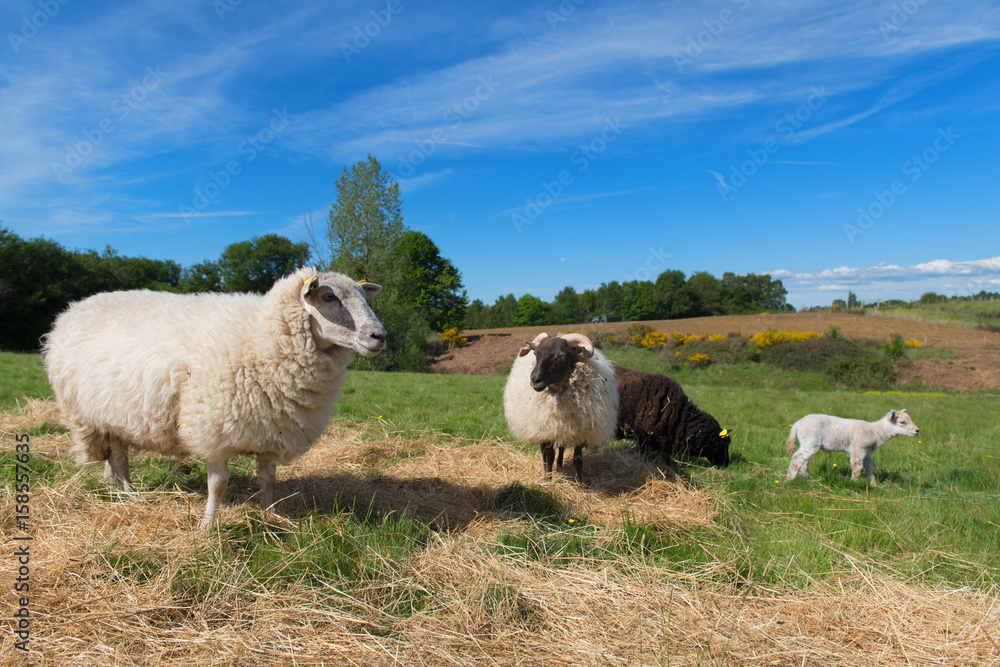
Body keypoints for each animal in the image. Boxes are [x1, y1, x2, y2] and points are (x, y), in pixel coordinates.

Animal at [43, 267, 386, 529]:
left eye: (363, 296)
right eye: (328, 296)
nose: (379, 336)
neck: (257, 338)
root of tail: (74, 308)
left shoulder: (272, 430)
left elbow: (267, 479)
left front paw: (269, 515)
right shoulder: (213, 427)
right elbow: (218, 484)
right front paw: (208, 525)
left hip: (113, 415)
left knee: (115, 458)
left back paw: (116, 488)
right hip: (90, 414)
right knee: (118, 459)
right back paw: (128, 494)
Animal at [503, 333, 618, 482]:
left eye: (561, 356)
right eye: (536, 353)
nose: (535, 380)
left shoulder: (580, 430)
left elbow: (578, 459)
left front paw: (579, 483)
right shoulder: (548, 429)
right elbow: (549, 455)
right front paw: (548, 479)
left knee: (562, 448)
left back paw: (560, 466)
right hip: (541, 428)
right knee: (544, 453)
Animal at [785, 409, 920, 483]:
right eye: (902, 422)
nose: (917, 430)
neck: (875, 431)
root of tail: (798, 423)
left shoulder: (866, 451)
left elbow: (871, 467)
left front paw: (873, 484)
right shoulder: (858, 449)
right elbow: (857, 468)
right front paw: (854, 482)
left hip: (807, 442)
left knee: (804, 460)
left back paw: (805, 477)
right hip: (810, 440)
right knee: (797, 458)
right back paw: (789, 480)